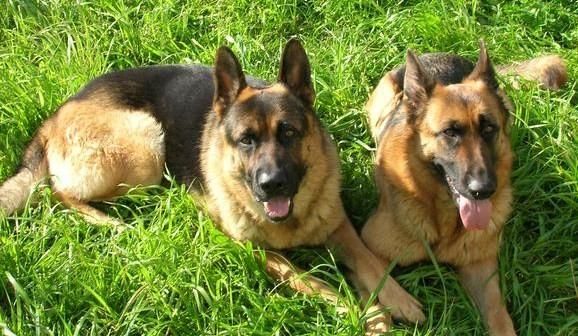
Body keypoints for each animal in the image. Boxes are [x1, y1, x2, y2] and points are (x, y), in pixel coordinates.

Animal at [0, 39, 424, 334]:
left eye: (288, 132)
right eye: (246, 140)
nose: (272, 185)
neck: (290, 225)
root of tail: (54, 118)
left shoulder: (339, 226)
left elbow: (370, 262)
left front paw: (397, 302)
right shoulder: (257, 251)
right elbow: (312, 280)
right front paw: (360, 312)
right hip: (145, 147)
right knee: (59, 193)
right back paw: (114, 223)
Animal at [362, 40, 564, 334]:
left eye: (489, 128)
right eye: (450, 132)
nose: (483, 189)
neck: (444, 222)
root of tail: (439, 55)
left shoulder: (481, 268)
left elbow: (499, 316)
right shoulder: (371, 246)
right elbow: (371, 283)